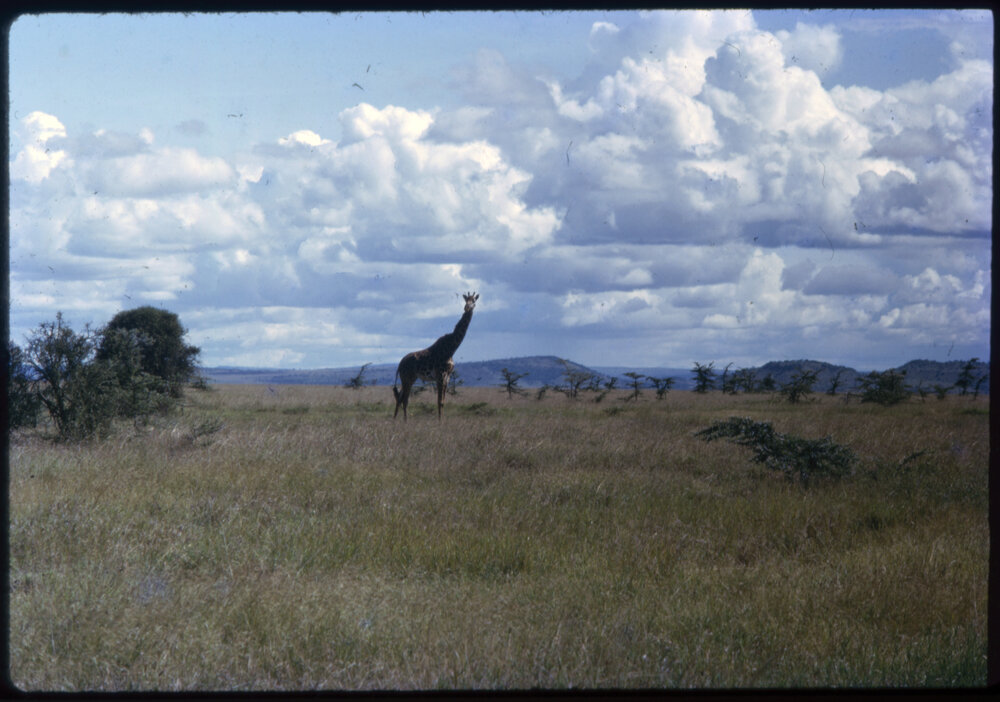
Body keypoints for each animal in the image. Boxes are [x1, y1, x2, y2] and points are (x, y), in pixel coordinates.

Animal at [393, 292, 479, 421]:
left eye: (473, 301)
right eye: (465, 301)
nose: (467, 308)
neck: (451, 349)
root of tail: (400, 364)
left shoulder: (447, 377)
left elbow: (443, 402)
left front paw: (442, 421)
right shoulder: (440, 375)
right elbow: (439, 402)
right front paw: (440, 422)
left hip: (410, 378)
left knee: (400, 398)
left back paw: (394, 420)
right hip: (407, 378)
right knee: (404, 399)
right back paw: (405, 421)